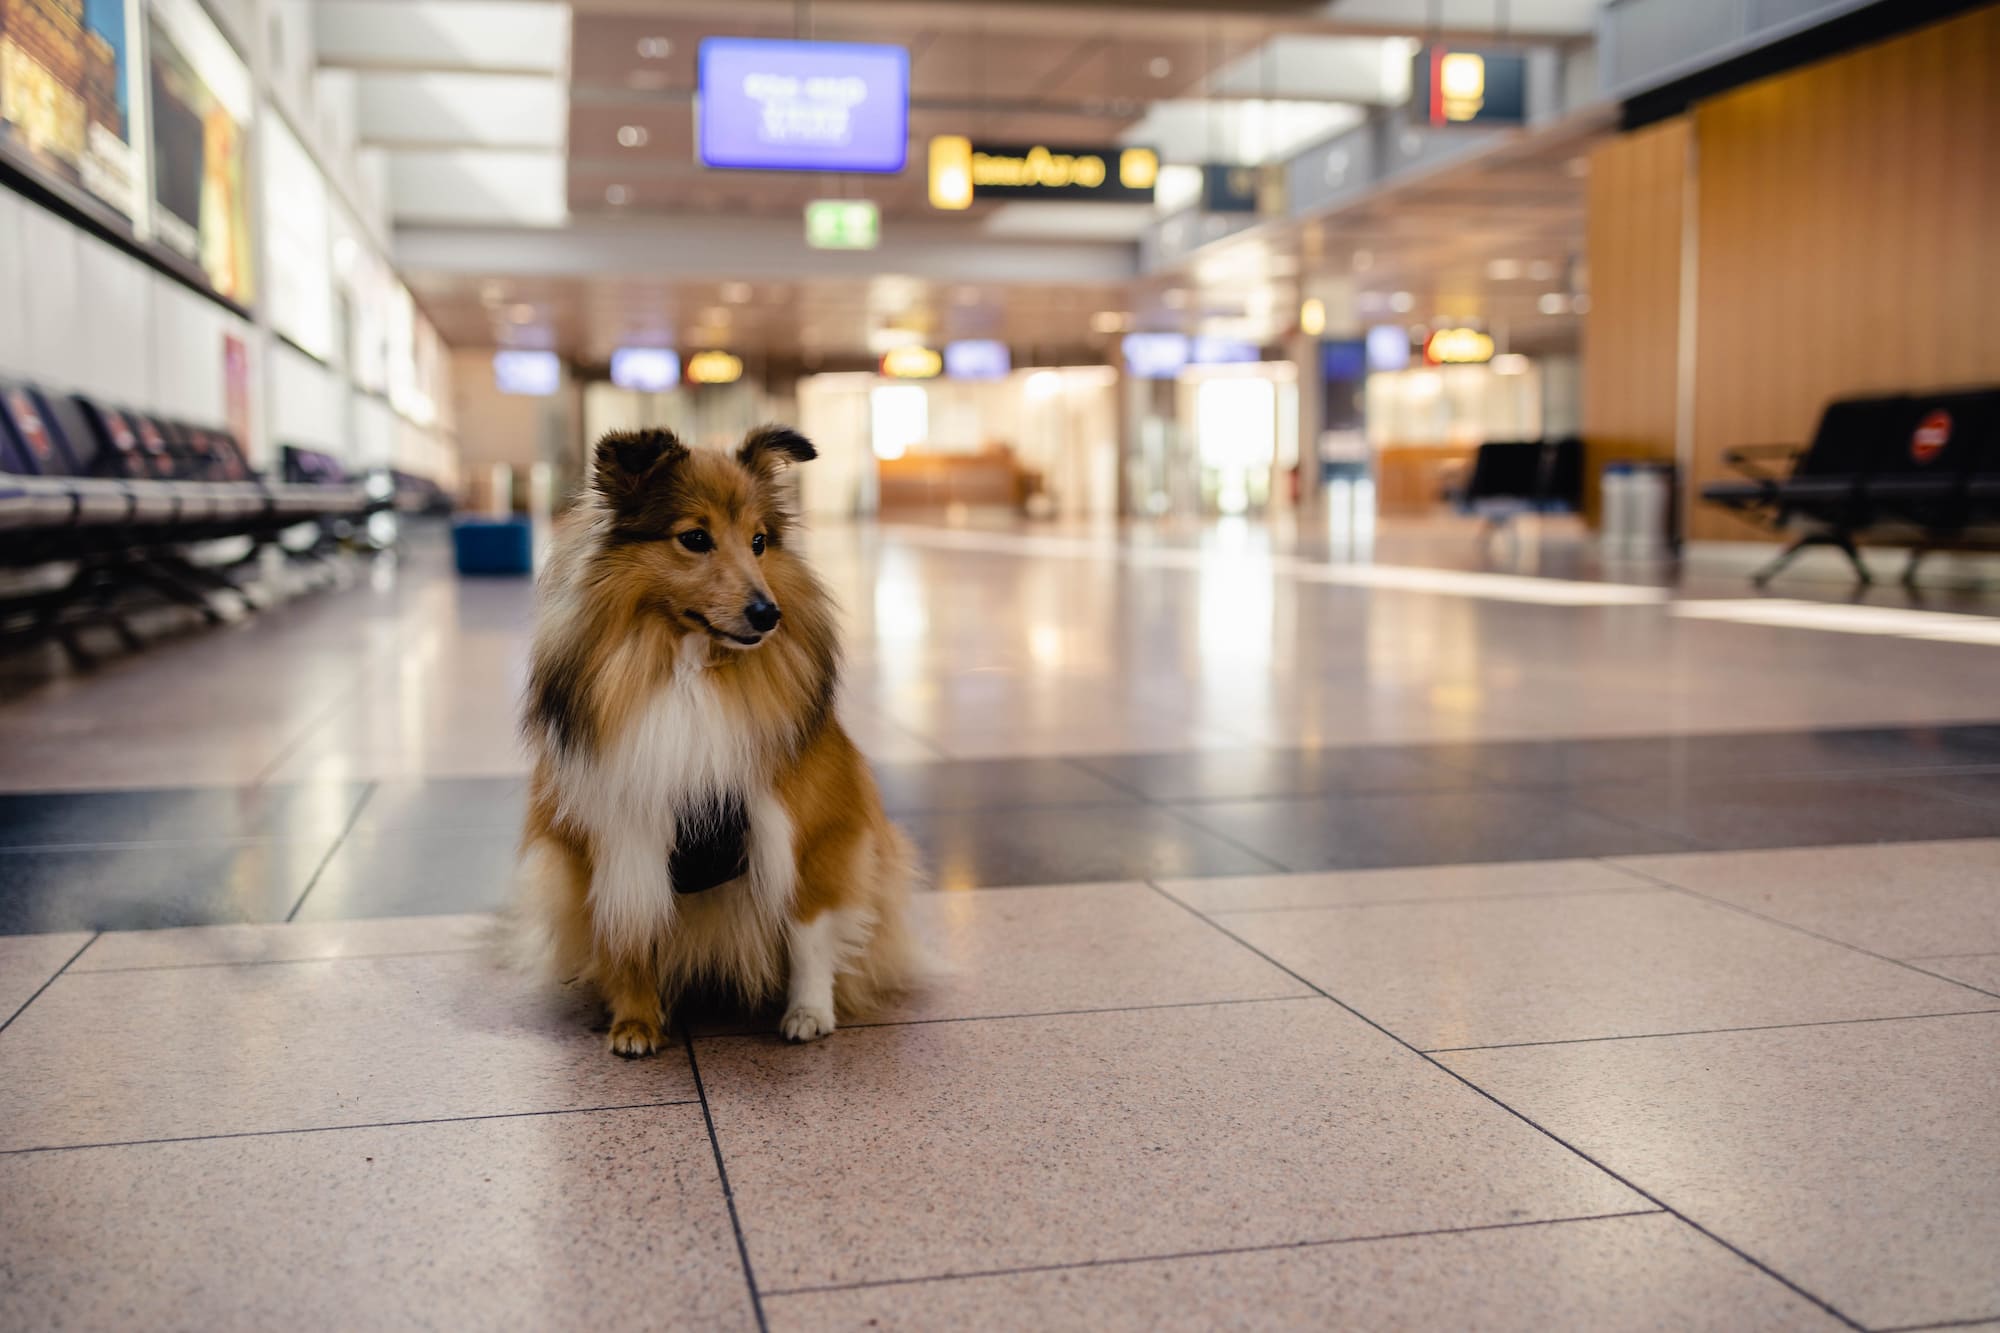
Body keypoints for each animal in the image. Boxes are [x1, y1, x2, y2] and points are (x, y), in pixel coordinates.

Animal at [516, 422, 920, 1048]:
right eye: (694, 538)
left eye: (759, 541)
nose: (768, 614)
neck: (690, 667)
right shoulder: (616, 834)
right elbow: (626, 929)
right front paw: (634, 1020)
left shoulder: (812, 829)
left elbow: (808, 928)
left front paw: (809, 1012)